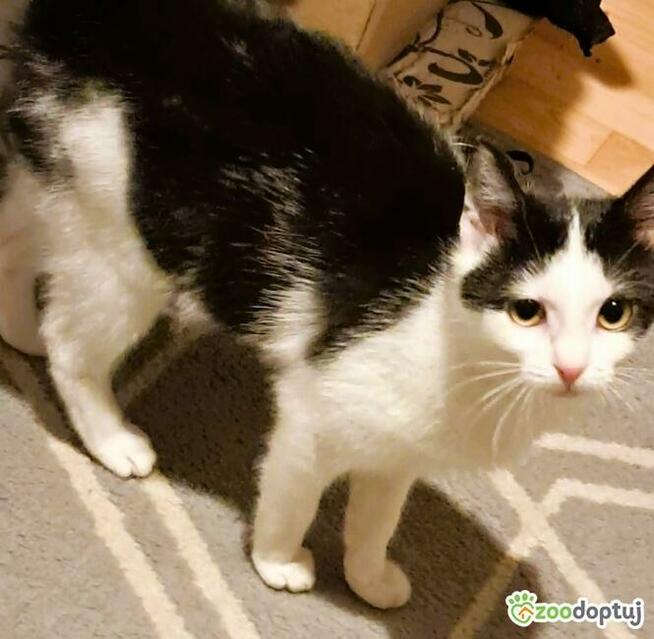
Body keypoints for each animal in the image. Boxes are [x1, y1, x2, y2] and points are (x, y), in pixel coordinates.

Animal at [2, 0, 654, 609]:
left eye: (613, 313)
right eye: (527, 310)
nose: (571, 367)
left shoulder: (399, 451)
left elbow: (377, 518)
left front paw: (369, 578)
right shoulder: (315, 411)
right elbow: (296, 496)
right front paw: (278, 561)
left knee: (14, 246)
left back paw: (18, 332)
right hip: (126, 251)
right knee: (71, 345)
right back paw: (110, 436)